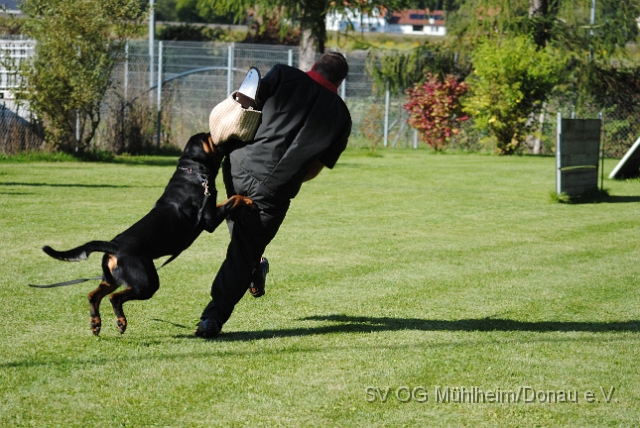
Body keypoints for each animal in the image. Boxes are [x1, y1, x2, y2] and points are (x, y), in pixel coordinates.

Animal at [36, 133, 254, 334]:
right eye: (209, 137)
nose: (223, 138)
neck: (193, 173)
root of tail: (113, 246)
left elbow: (228, 200)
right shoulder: (209, 219)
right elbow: (233, 199)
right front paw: (249, 200)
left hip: (113, 278)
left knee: (93, 295)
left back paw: (96, 324)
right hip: (145, 281)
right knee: (114, 298)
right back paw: (121, 322)